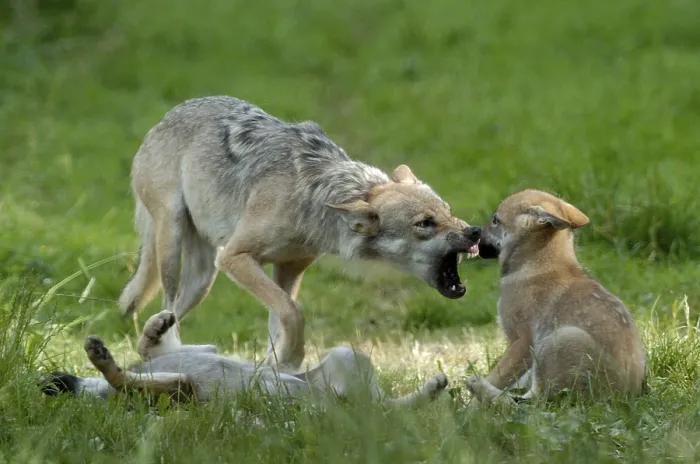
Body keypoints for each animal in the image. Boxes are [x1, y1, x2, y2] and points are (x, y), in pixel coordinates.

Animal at [118, 96, 481, 372]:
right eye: (425, 223)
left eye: (448, 211)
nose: (476, 231)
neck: (314, 198)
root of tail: (166, 117)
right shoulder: (235, 257)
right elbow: (293, 312)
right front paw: (291, 358)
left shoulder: (289, 269)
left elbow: (280, 318)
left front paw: (275, 368)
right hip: (178, 247)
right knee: (164, 308)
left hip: (203, 279)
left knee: (168, 317)